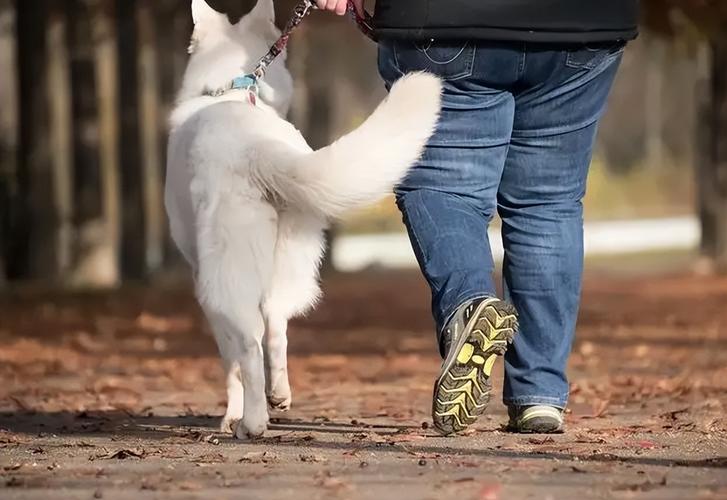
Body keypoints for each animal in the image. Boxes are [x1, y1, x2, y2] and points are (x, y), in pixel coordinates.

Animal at [166, 0, 444, 438]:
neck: (231, 90)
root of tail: (255, 148)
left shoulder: (202, 282)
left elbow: (230, 363)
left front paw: (230, 415)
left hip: (225, 276)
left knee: (250, 344)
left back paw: (252, 422)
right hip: (291, 257)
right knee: (276, 325)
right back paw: (279, 395)